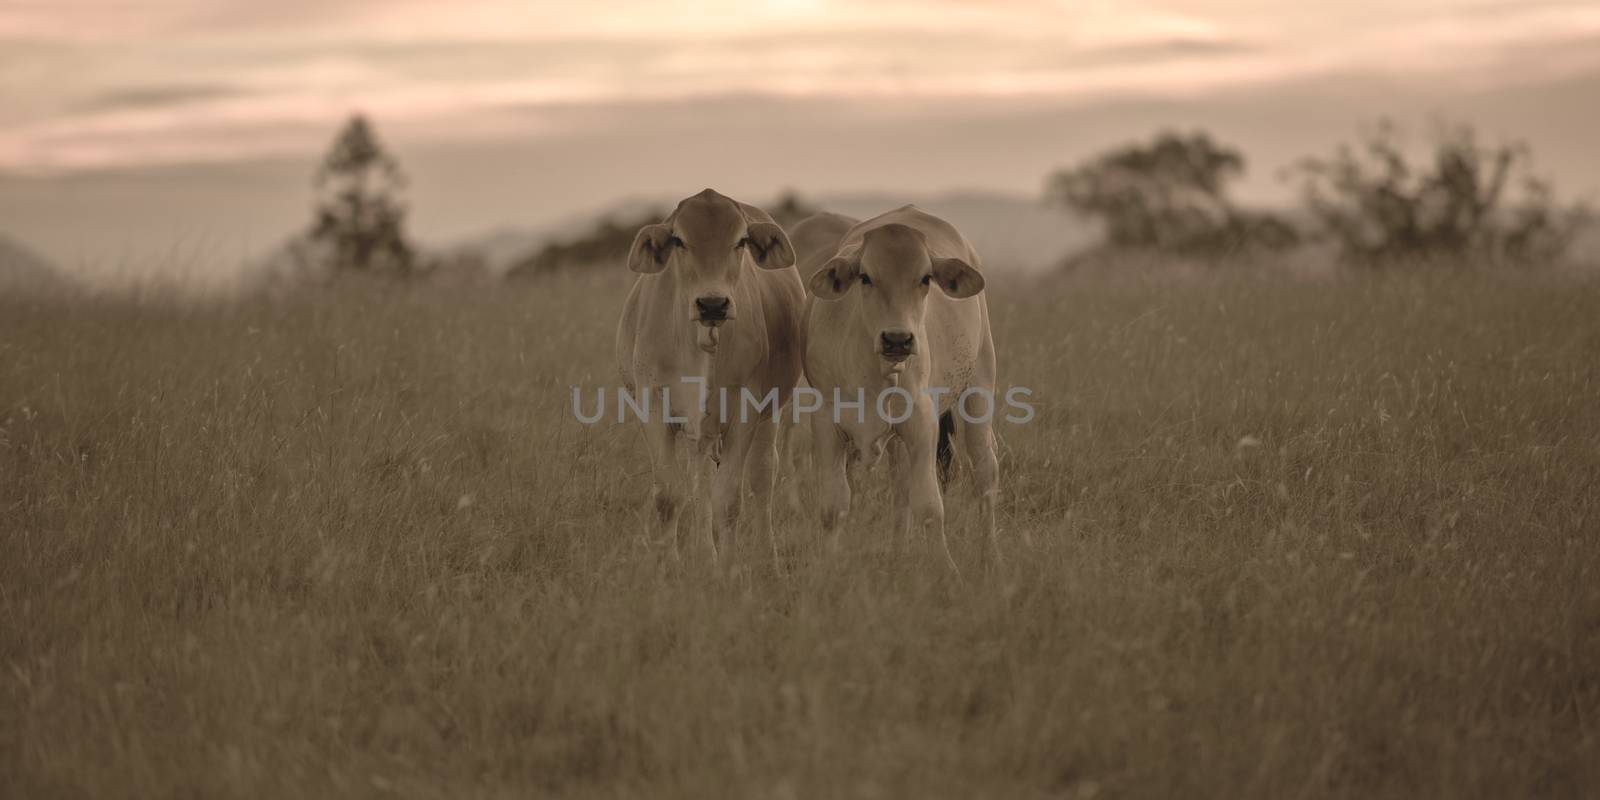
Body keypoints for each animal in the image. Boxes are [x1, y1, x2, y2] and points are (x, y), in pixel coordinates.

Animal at [617, 191, 806, 572]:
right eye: (679, 240)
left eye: (741, 241)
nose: (712, 304)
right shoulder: (652, 405)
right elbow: (669, 495)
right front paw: (669, 567)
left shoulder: (746, 409)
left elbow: (729, 499)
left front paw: (729, 570)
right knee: (698, 483)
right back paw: (704, 554)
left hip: (768, 416)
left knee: (762, 477)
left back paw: (765, 559)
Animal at [800, 204, 998, 569]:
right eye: (865, 277)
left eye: (925, 278)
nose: (897, 339)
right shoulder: (826, 424)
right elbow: (834, 506)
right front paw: (827, 567)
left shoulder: (922, 423)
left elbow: (930, 506)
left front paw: (946, 569)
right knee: (901, 488)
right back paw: (897, 552)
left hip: (979, 388)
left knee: (985, 474)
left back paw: (991, 555)